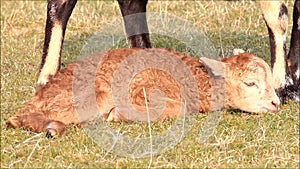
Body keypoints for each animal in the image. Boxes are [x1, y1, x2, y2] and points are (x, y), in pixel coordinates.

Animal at [5, 48, 280, 138]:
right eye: (250, 83)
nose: (276, 104)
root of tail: (40, 93)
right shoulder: (142, 88)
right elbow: (177, 108)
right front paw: (117, 115)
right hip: (92, 96)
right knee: (15, 119)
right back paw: (53, 127)